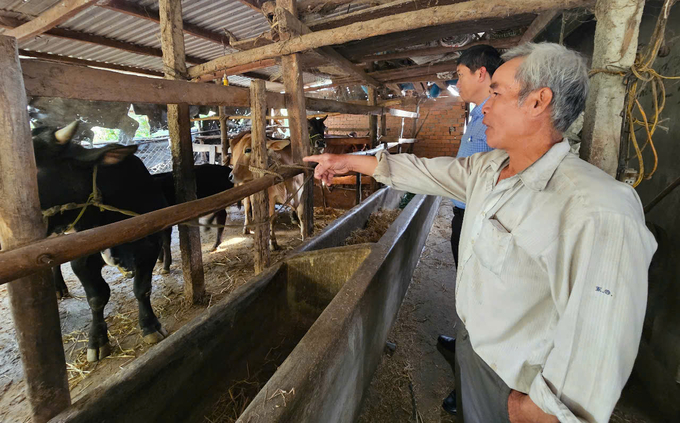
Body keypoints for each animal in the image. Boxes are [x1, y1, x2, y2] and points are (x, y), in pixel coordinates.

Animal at [33, 121, 169, 362]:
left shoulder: (149, 245)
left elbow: (142, 288)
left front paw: (150, 326)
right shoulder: (81, 258)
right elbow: (97, 297)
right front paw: (97, 340)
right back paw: (58, 288)